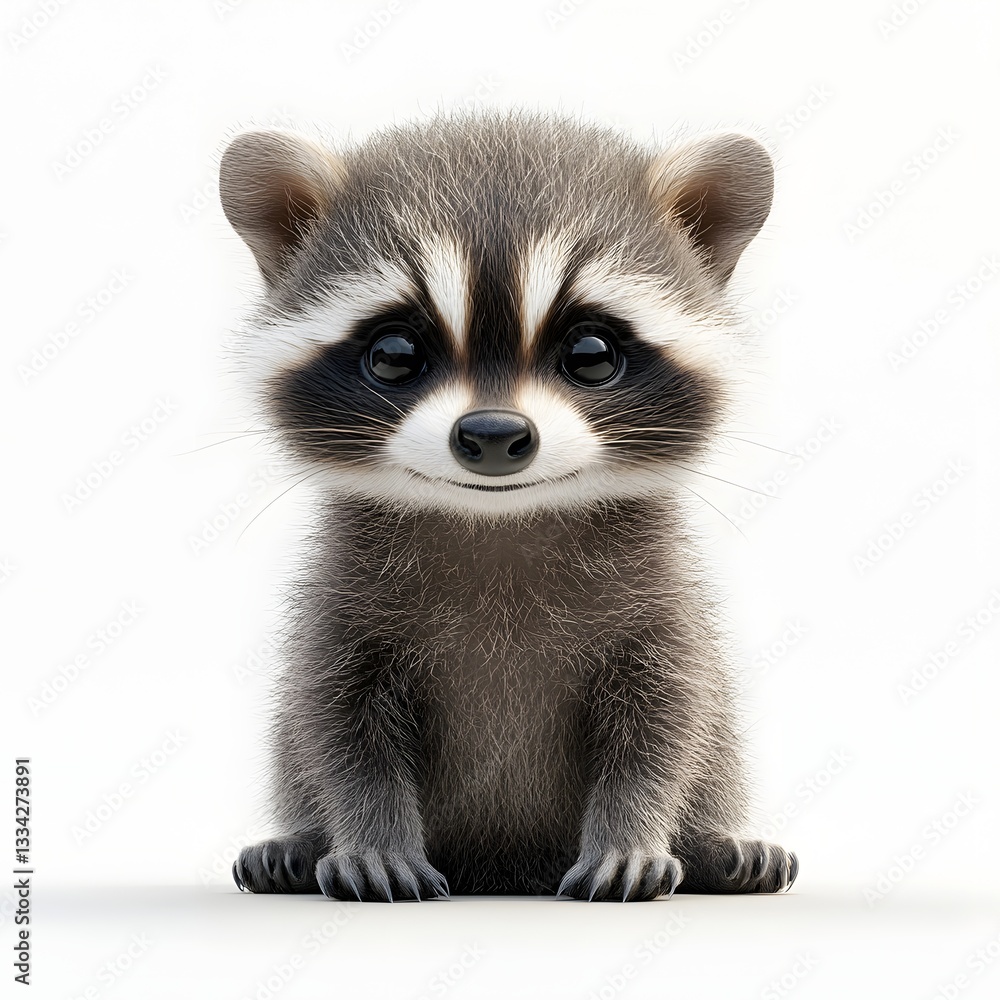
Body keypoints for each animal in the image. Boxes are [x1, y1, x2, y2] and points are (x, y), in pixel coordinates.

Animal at [222, 112, 797, 901]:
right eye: (395, 354)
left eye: (591, 353)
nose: (493, 435)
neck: (498, 524)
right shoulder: (342, 606)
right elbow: (337, 726)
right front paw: (370, 837)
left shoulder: (661, 608)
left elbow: (666, 723)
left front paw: (633, 834)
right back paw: (300, 847)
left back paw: (714, 848)